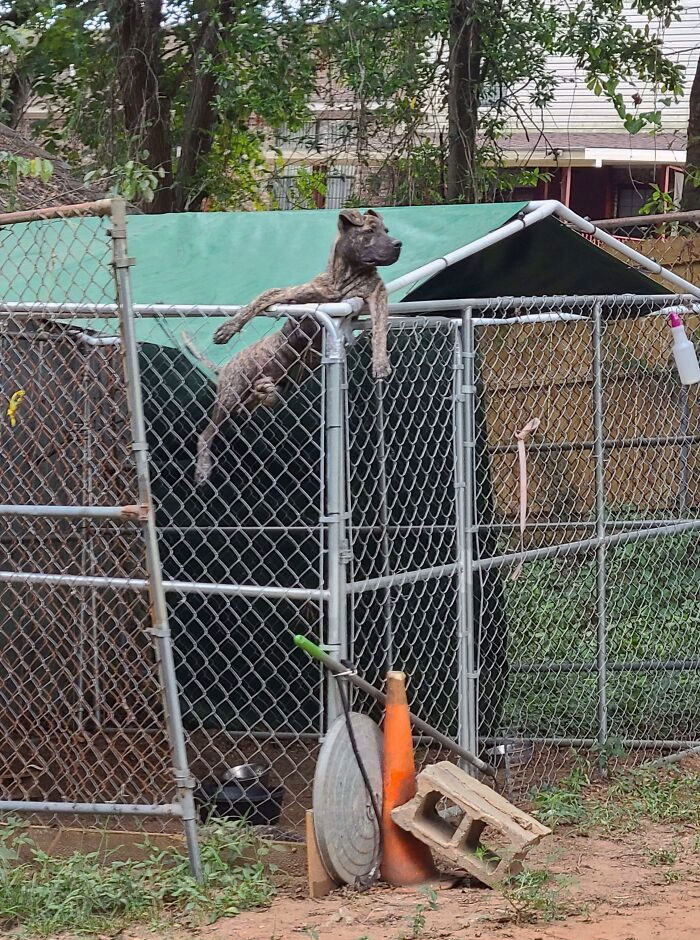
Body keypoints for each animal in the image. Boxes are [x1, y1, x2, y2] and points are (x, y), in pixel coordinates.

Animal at [194, 207, 402, 484]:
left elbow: (379, 329)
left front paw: (380, 363)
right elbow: (263, 296)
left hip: (261, 393)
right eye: (370, 231)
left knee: (247, 409)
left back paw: (263, 393)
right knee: (206, 433)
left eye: (386, 231)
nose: (398, 243)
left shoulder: (375, 294)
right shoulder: (298, 295)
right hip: (231, 393)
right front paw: (227, 328)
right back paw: (203, 467)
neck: (342, 278)